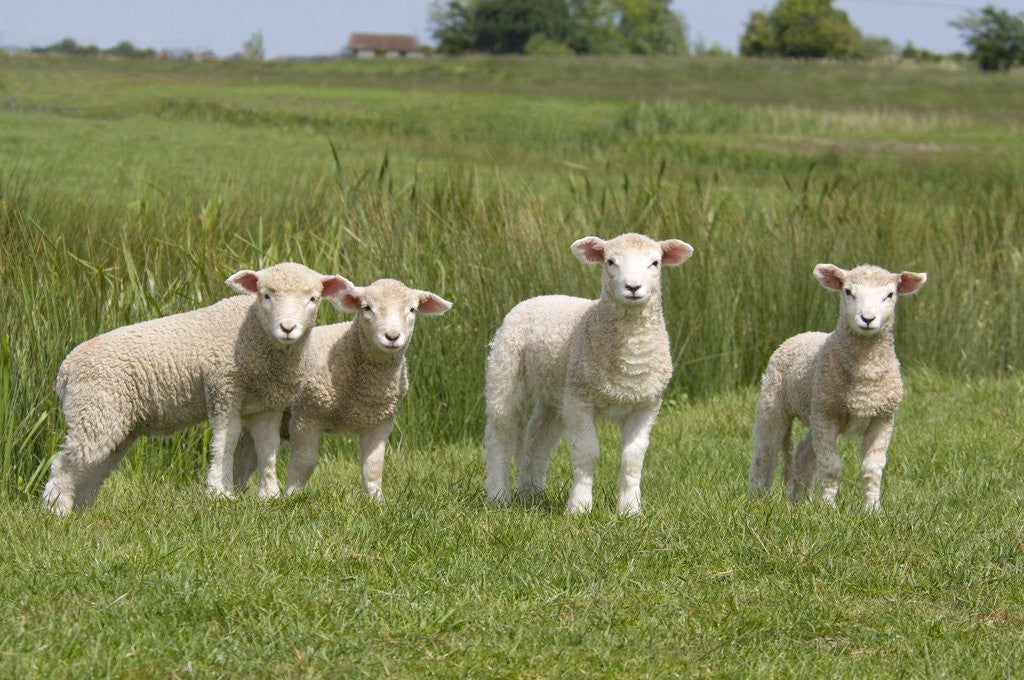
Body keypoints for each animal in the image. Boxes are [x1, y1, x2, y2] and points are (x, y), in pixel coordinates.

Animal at [41, 262, 351, 515]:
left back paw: (79, 510)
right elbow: (226, 439)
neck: (256, 335)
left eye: (313, 299)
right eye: (266, 295)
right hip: (95, 409)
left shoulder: (268, 404)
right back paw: (57, 512)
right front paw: (219, 492)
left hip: (112, 419)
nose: (288, 328)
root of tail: (65, 370)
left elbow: (268, 446)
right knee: (65, 464)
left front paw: (270, 495)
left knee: (95, 466)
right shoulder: (223, 388)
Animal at [231, 278, 452, 500]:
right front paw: (291, 495)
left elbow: (373, 466)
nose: (392, 336)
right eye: (366, 308)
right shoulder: (306, 415)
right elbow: (305, 461)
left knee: (245, 456)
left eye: (412, 309)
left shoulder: (380, 421)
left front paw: (376, 500)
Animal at [483, 232, 694, 515]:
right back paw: (498, 495)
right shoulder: (579, 400)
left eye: (655, 263)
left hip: (555, 392)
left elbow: (633, 458)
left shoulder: (646, 404)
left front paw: (630, 509)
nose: (633, 287)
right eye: (610, 262)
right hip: (505, 371)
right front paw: (579, 507)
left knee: (538, 438)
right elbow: (588, 454)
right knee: (500, 433)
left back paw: (529, 493)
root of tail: (538, 297)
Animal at [748, 263, 928, 512]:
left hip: (816, 411)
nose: (867, 319)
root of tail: (803, 333)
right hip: (775, 402)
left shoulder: (882, 418)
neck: (865, 378)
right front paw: (828, 509)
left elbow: (872, 467)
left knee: (803, 452)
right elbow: (831, 465)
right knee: (765, 453)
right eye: (848, 292)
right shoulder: (828, 416)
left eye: (890, 294)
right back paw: (758, 500)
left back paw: (799, 502)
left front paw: (873, 509)